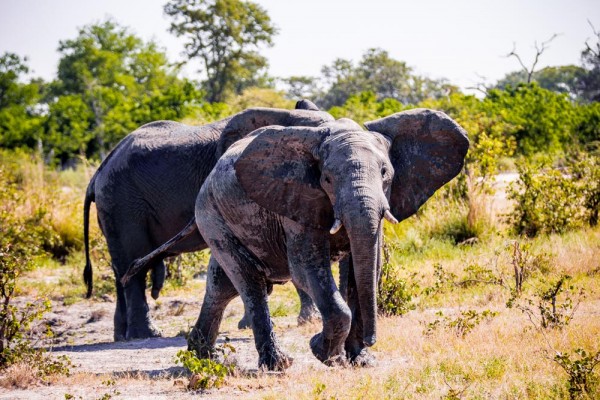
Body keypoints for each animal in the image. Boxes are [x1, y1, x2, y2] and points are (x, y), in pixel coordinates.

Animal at [82, 100, 330, 340]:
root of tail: (98, 173)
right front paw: (304, 321)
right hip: (122, 203)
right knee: (134, 265)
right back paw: (145, 335)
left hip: (112, 207)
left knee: (121, 271)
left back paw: (122, 336)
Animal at [122, 107, 468, 368]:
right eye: (326, 178)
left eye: (386, 173)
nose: (371, 340)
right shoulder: (296, 200)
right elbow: (306, 268)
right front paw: (323, 353)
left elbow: (369, 266)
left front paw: (360, 361)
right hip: (212, 214)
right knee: (249, 282)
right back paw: (277, 365)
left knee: (222, 286)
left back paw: (204, 357)